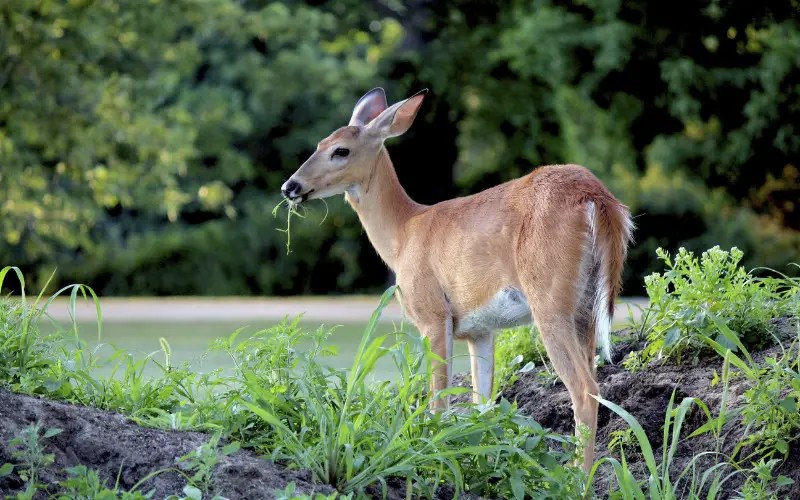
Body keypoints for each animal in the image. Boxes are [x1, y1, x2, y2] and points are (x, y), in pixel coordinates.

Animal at [280, 88, 632, 471]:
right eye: (320, 143)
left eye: (341, 150)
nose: (290, 186)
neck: (403, 235)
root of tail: (596, 197)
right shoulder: (481, 330)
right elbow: (483, 404)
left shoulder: (433, 315)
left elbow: (438, 401)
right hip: (586, 304)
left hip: (549, 298)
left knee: (584, 389)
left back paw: (575, 476)